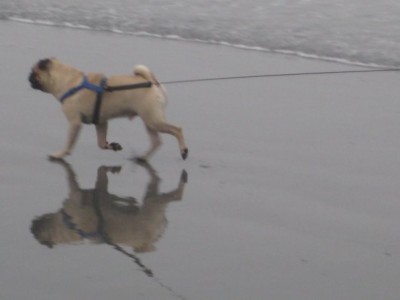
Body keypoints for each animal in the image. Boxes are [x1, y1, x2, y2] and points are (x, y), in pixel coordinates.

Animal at [28, 58, 188, 162]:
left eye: (34, 73)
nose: (28, 78)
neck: (67, 80)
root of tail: (151, 82)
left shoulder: (74, 122)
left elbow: (69, 143)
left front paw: (60, 154)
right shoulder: (101, 122)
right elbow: (101, 143)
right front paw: (112, 145)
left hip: (153, 120)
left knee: (177, 130)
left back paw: (184, 151)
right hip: (149, 121)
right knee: (156, 142)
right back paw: (143, 157)